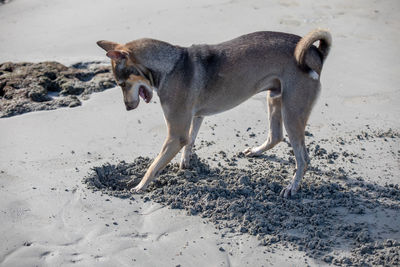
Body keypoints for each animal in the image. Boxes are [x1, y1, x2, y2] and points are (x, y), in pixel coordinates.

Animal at [97, 29, 332, 198]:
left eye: (122, 84)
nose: (127, 107)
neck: (171, 65)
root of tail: (315, 53)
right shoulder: (196, 117)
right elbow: (190, 140)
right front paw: (185, 163)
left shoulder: (175, 135)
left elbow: (154, 165)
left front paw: (140, 185)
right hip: (275, 98)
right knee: (276, 136)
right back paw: (256, 151)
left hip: (292, 112)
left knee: (303, 158)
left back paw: (292, 186)